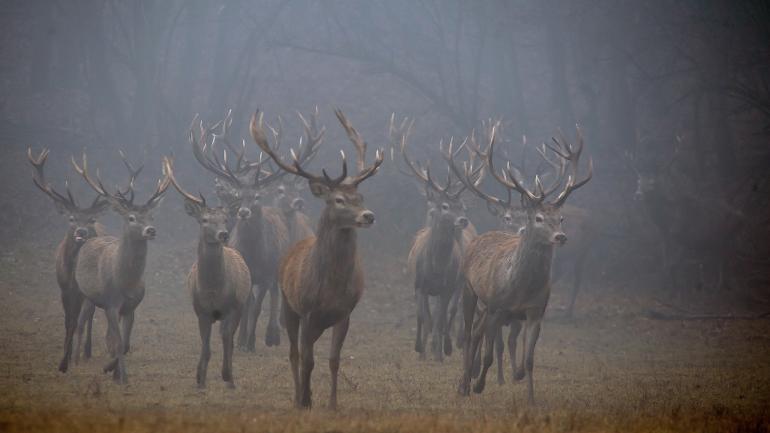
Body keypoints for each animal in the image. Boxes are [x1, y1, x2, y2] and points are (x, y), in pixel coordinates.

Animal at [26, 148, 109, 372]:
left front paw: (71, 360)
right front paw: (65, 358)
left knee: (89, 316)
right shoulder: (64, 289)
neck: (72, 273)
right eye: (71, 218)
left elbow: (79, 320)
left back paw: (87, 351)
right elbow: (68, 322)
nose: (81, 232)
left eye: (90, 219)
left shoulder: (83, 290)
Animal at [71, 152, 170, 382]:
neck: (125, 281)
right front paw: (121, 377)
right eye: (131, 217)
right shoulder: (111, 303)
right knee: (80, 324)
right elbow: (117, 343)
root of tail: (90, 238)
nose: (151, 230)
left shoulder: (131, 306)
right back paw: (75, 360)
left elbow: (124, 345)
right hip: (85, 293)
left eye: (151, 216)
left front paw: (113, 371)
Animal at [162, 157, 249, 386]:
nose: (223, 234)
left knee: (229, 339)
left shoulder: (232, 307)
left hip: (240, 306)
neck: (213, 289)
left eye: (225, 219)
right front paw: (199, 378)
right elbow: (206, 347)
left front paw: (228, 377)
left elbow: (227, 341)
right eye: (204, 220)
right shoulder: (201, 310)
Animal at [250, 107, 382, 408]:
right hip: (289, 306)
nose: (368, 216)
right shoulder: (308, 309)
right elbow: (307, 359)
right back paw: (299, 396)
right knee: (294, 352)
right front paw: (304, 400)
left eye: (360, 197)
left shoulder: (344, 312)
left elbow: (333, 360)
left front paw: (332, 404)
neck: (332, 285)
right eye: (338, 200)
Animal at [456, 125, 592, 404]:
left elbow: (529, 359)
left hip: (486, 304)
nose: (561, 237)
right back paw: (464, 384)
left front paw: (531, 397)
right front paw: (479, 385)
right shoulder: (497, 308)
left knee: (476, 331)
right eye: (538, 218)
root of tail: (480, 237)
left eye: (561, 217)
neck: (520, 289)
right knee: (469, 332)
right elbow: (489, 353)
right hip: (470, 290)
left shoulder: (535, 311)